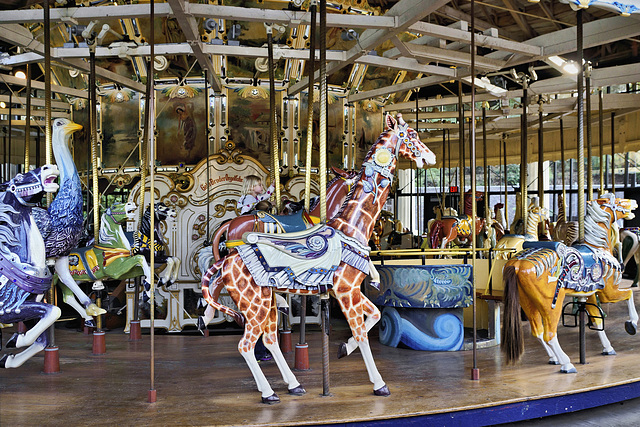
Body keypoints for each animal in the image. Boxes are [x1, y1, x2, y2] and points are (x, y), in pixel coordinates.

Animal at [0, 166, 61, 370]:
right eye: (18, 177)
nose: (49, 167)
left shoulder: (26, 304)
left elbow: (43, 339)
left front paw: (10, 355)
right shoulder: (8, 308)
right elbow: (54, 311)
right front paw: (17, 340)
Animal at [202, 113, 438, 402]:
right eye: (412, 134)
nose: (430, 156)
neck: (350, 227)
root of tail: (227, 261)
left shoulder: (347, 290)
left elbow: (374, 316)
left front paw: (343, 348)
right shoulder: (346, 291)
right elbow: (362, 333)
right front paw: (379, 383)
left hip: (264, 302)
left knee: (268, 338)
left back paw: (293, 384)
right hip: (255, 304)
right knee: (245, 344)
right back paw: (268, 392)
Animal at [502, 195, 636, 374]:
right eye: (619, 201)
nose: (634, 202)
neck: (598, 246)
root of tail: (517, 264)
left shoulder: (590, 294)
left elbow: (597, 320)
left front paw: (608, 348)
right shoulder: (608, 293)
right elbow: (629, 294)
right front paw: (632, 324)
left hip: (526, 301)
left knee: (537, 331)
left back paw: (554, 358)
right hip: (551, 303)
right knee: (550, 334)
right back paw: (566, 363)